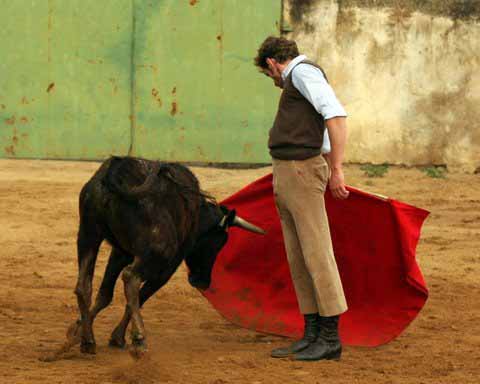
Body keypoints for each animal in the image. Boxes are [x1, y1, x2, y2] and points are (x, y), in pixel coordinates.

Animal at [67, 155, 264, 356]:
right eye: (218, 244)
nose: (203, 282)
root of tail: (121, 168)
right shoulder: (168, 266)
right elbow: (141, 296)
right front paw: (117, 336)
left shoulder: (121, 253)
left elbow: (106, 294)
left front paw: (76, 332)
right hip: (160, 252)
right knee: (130, 277)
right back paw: (139, 339)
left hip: (88, 233)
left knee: (84, 285)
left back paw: (88, 341)